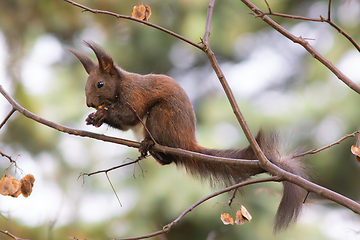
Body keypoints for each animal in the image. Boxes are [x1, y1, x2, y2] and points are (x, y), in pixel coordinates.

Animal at [69, 41, 308, 232]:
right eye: (86, 85)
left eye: (100, 84)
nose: (90, 103)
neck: (121, 86)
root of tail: (187, 142)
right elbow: (124, 124)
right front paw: (93, 118)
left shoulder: (135, 95)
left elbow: (127, 116)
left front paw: (102, 114)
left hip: (161, 117)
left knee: (168, 152)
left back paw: (150, 144)